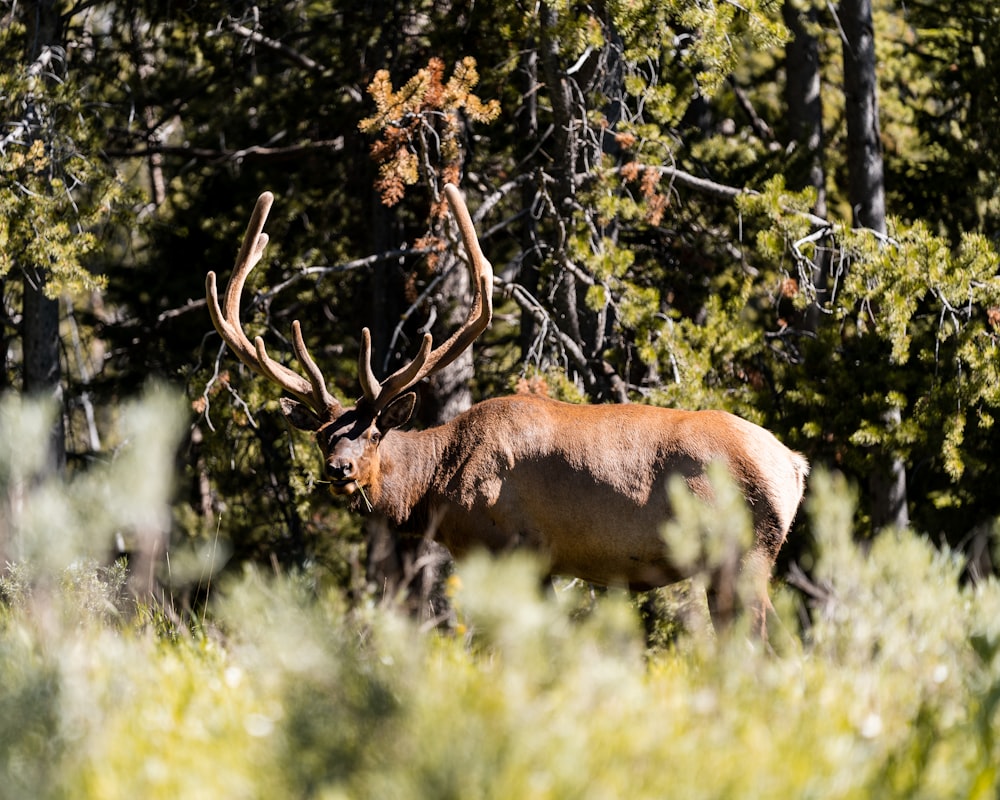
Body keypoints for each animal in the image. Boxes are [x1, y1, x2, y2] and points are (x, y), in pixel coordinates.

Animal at [207, 183, 808, 636]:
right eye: (322, 436)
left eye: (375, 432)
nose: (339, 469)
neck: (438, 483)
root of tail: (794, 466)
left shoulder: (511, 545)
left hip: (743, 550)